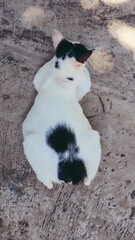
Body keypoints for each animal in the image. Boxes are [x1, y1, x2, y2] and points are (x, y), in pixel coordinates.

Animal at [22, 29, 100, 189]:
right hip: (95, 138)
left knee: (48, 183)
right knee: (88, 180)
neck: (62, 80)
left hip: (29, 144)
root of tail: (71, 166)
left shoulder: (39, 77)